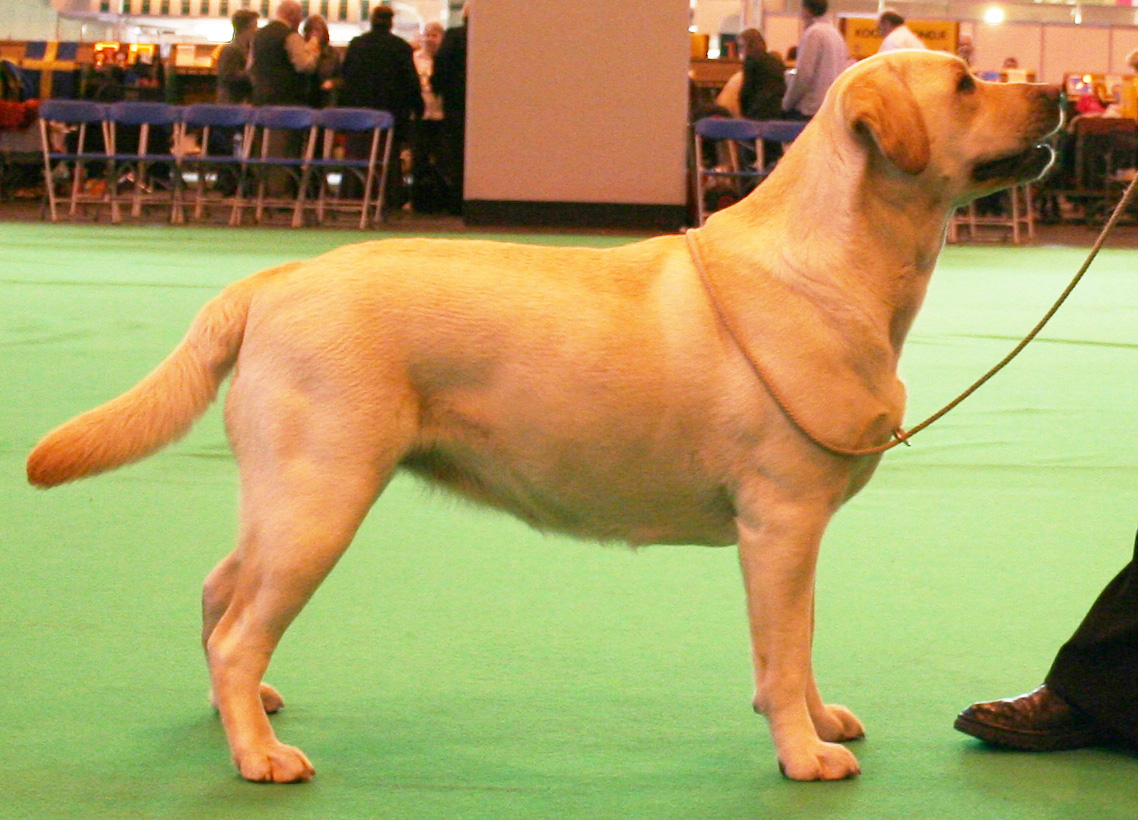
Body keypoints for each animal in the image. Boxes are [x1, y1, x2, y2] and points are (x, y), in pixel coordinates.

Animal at [26, 51, 1060, 782]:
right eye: (966, 84)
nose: (1062, 96)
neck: (838, 263)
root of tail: (270, 281)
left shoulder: (797, 534)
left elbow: (802, 636)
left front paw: (818, 714)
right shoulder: (782, 518)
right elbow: (782, 647)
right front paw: (802, 752)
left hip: (284, 497)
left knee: (217, 594)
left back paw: (239, 713)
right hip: (321, 497)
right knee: (241, 626)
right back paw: (258, 758)